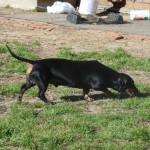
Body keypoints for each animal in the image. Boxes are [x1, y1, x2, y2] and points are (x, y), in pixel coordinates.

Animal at [6, 44, 139, 103]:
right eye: (131, 84)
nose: (138, 93)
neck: (109, 75)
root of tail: (35, 62)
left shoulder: (86, 86)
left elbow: (85, 93)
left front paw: (88, 99)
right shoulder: (98, 86)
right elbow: (107, 90)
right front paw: (112, 95)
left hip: (32, 81)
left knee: (22, 88)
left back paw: (19, 99)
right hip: (43, 83)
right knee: (40, 95)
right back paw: (49, 103)